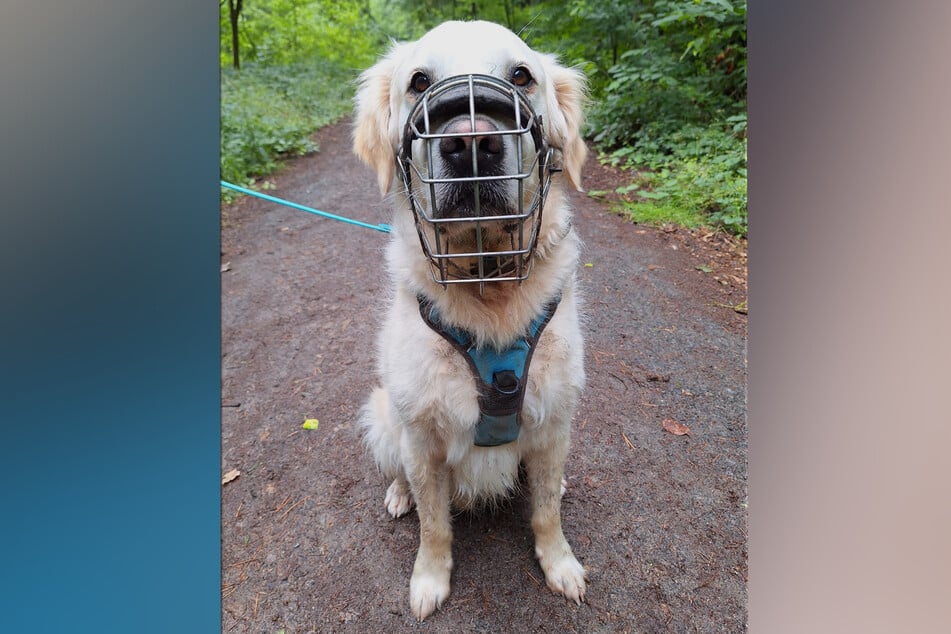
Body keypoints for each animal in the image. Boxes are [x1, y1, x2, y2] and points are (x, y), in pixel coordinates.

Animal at [350, 19, 588, 616]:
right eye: (418, 81)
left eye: (522, 76)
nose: (471, 142)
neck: (485, 284)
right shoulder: (423, 440)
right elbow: (435, 525)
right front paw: (429, 580)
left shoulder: (554, 420)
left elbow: (546, 512)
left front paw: (560, 564)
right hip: (385, 418)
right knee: (402, 476)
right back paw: (398, 495)